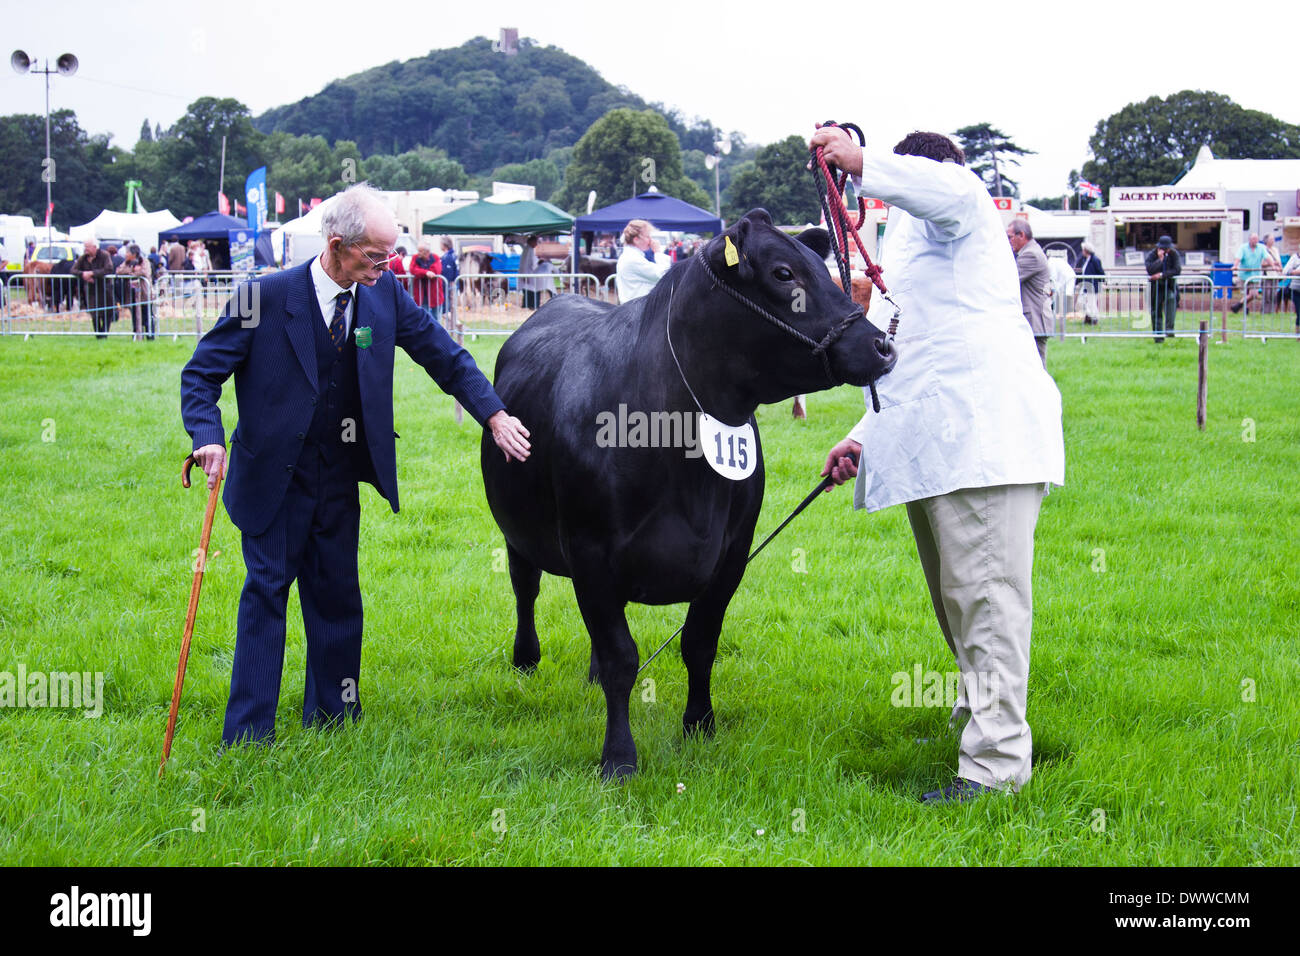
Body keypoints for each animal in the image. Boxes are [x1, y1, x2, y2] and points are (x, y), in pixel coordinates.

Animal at [483, 209, 899, 780]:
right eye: (784, 273)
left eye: (826, 270)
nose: (883, 345)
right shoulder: (590, 548)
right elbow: (621, 657)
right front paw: (619, 758)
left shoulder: (731, 552)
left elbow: (699, 643)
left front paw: (700, 725)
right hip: (518, 527)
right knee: (526, 587)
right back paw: (525, 660)